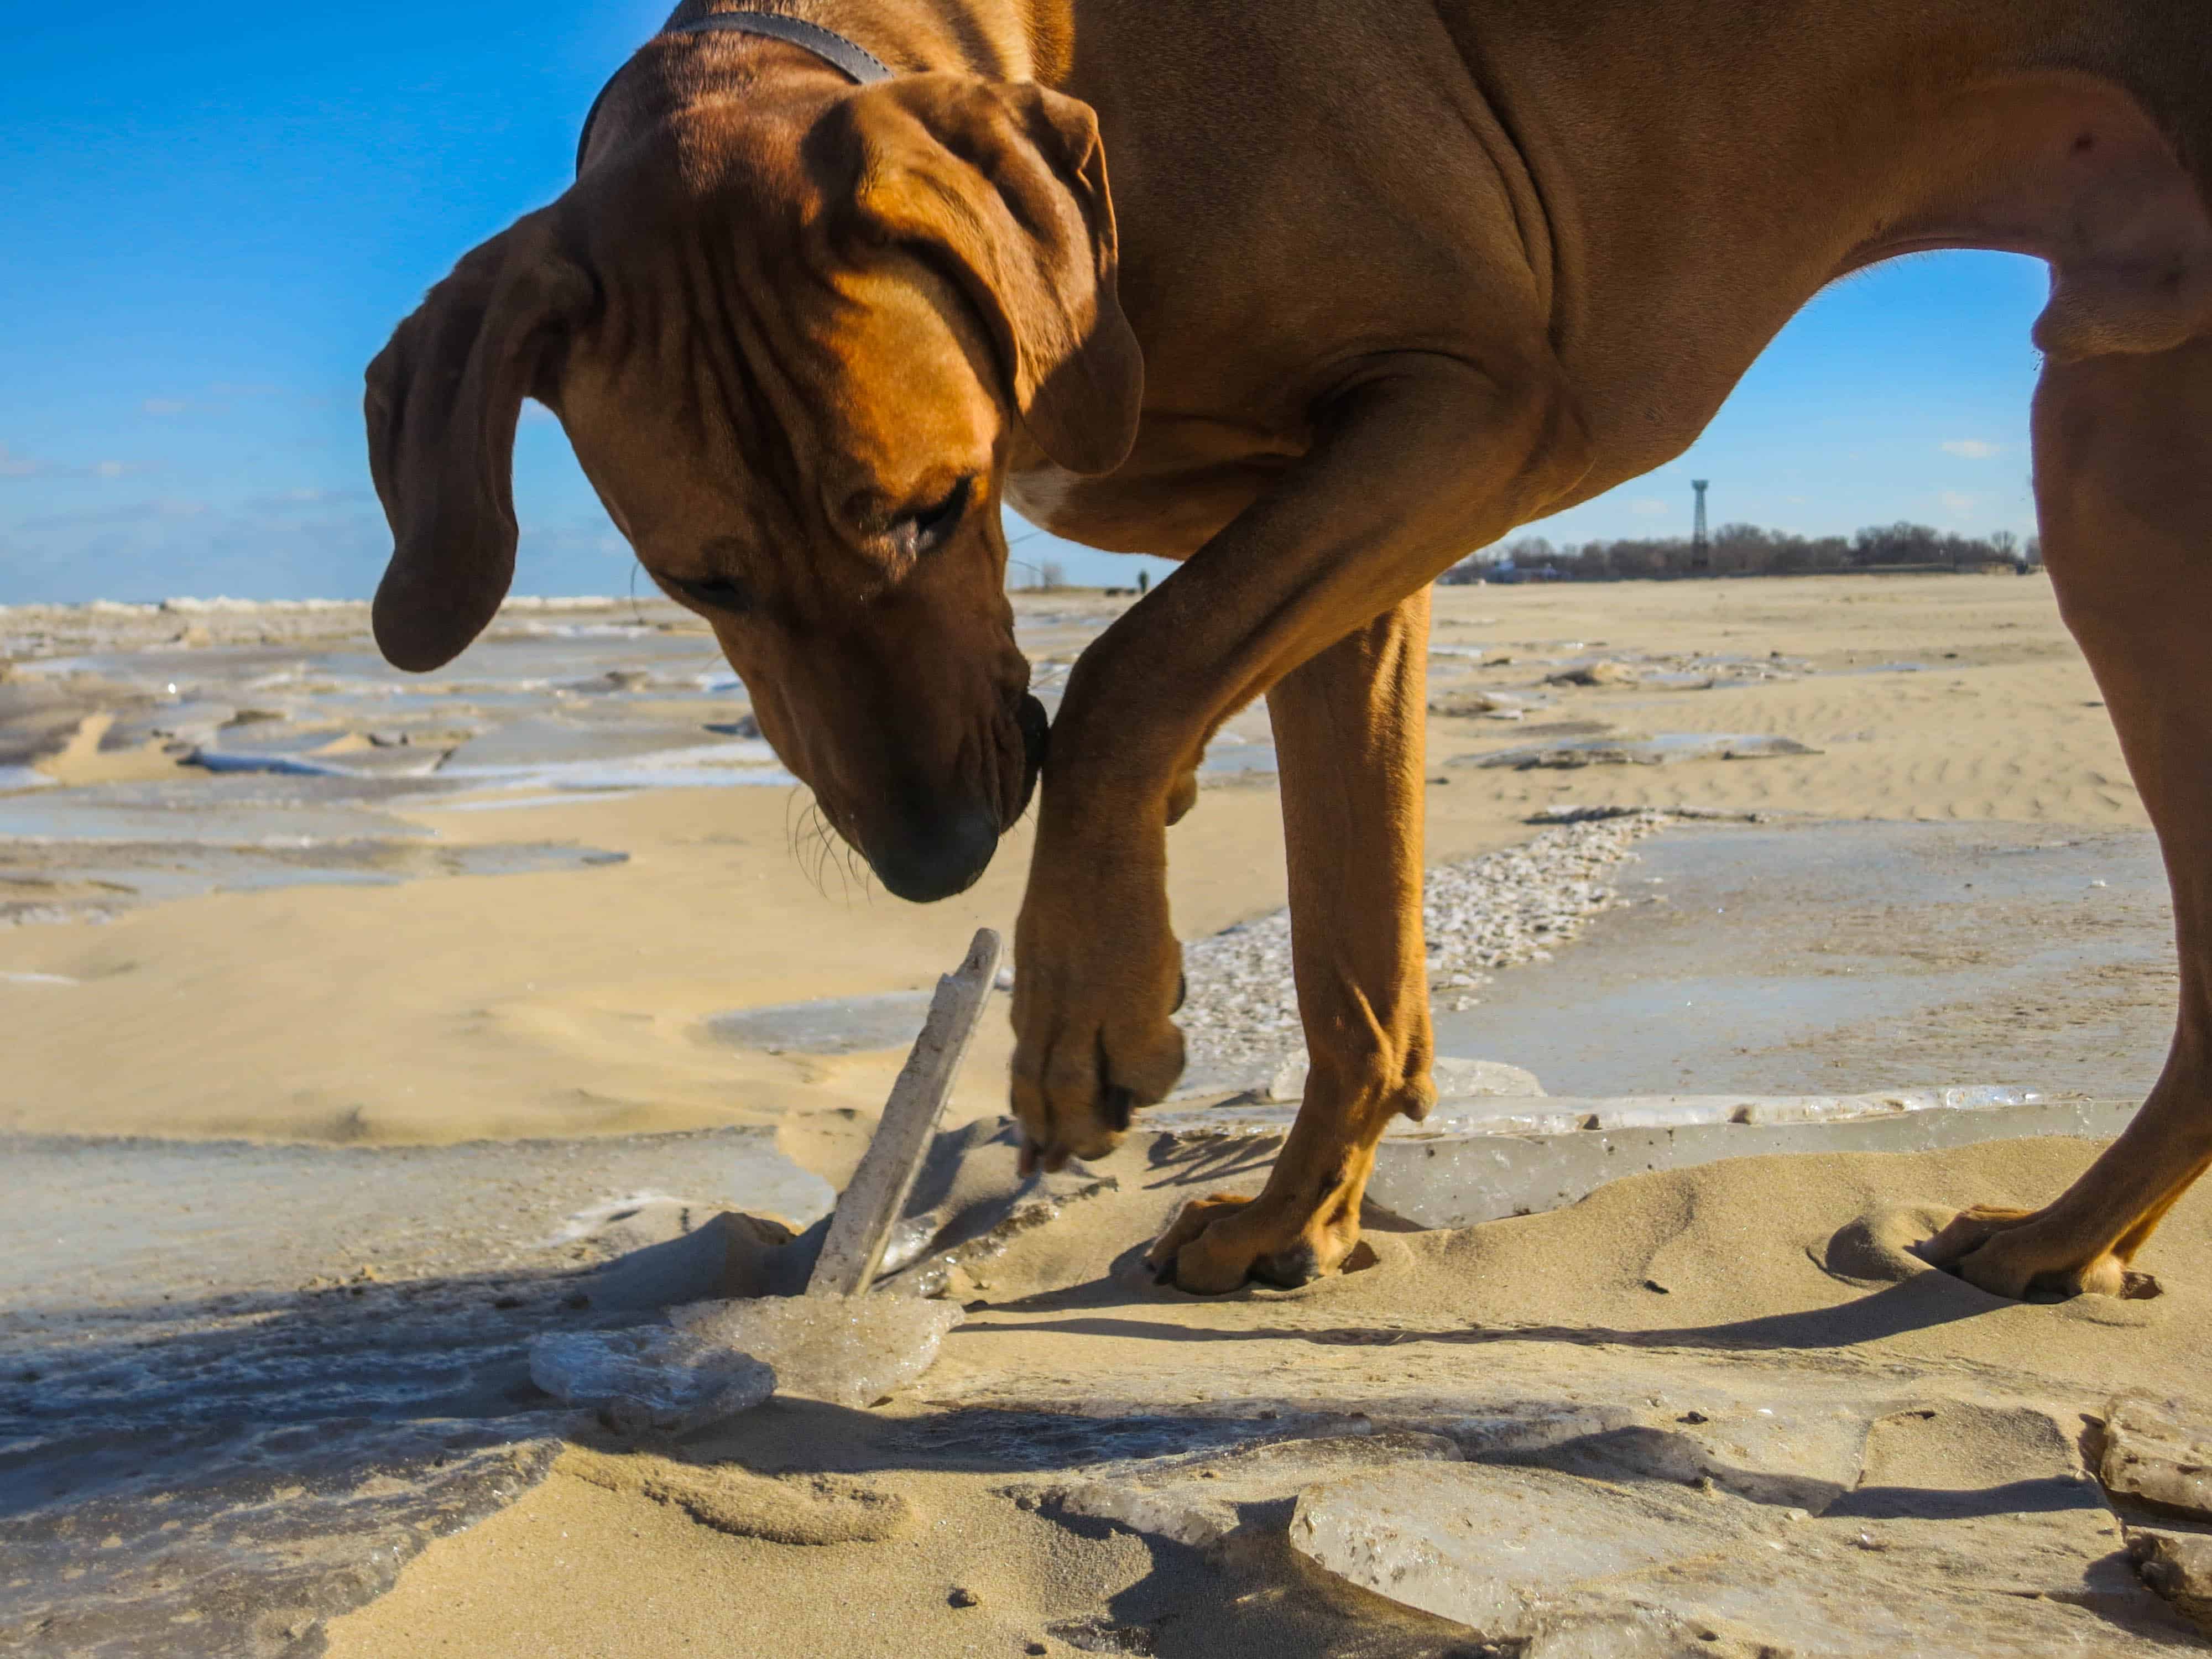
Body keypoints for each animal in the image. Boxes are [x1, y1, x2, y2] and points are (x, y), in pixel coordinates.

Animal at [372, 0, 2212, 1301]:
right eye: (701, 579)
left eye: (933, 508)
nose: (935, 860)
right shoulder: (1358, 528)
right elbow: (1347, 948)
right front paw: (1288, 1224)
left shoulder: (1484, 399)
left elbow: (1133, 668)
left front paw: (1085, 1005)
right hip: (2119, 449)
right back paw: (2064, 1243)